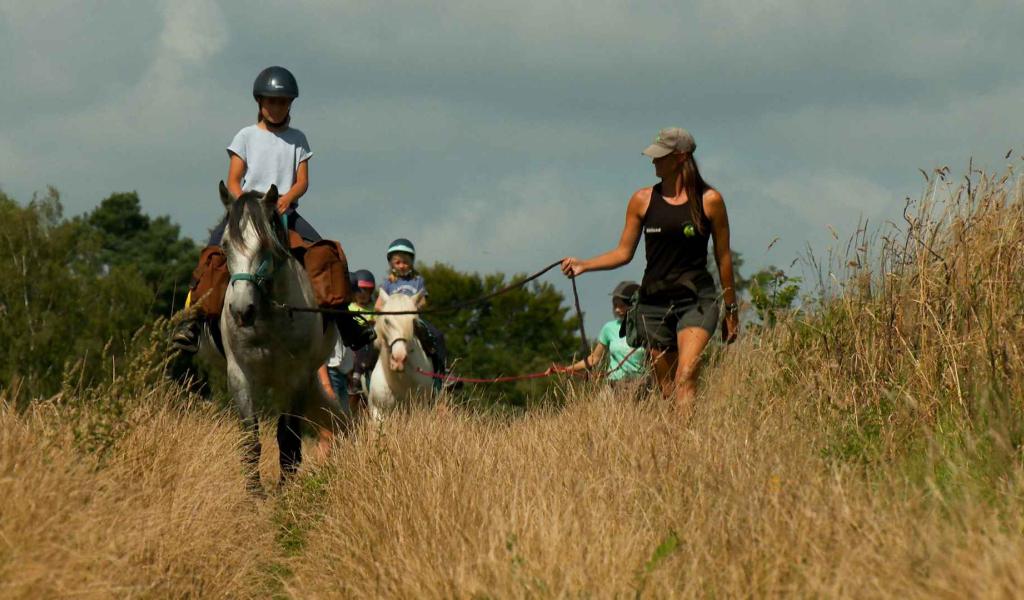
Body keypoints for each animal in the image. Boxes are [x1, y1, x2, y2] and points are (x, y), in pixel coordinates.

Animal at [209, 182, 342, 491]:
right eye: (225, 246)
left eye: (264, 246)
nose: (241, 310)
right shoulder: (239, 376)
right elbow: (250, 440)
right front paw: (254, 492)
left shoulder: (295, 378)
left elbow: (288, 437)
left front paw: (284, 490)